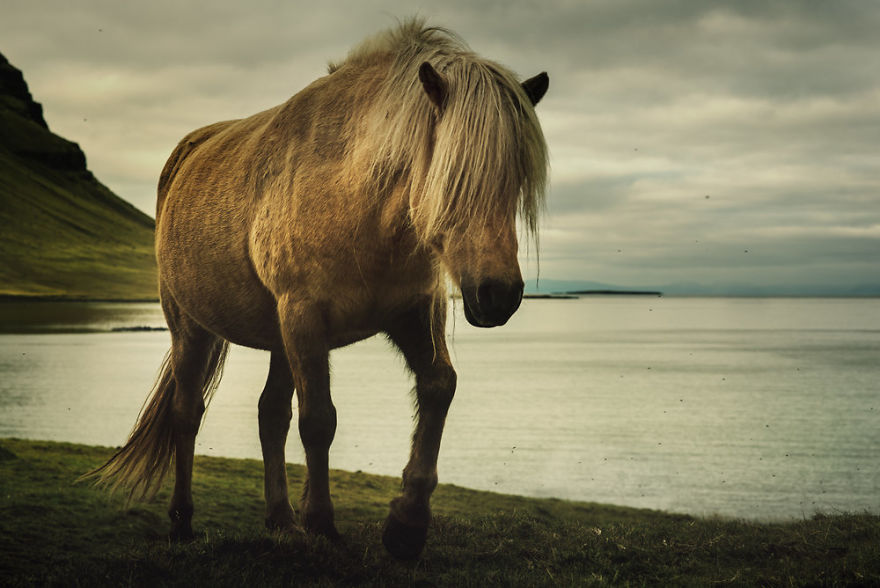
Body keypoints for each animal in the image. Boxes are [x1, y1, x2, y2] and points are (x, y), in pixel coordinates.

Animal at [85, 19, 549, 559]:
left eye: (515, 179)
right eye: (453, 177)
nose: (499, 294)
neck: (358, 202)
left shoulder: (413, 313)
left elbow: (438, 388)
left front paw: (406, 524)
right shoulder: (305, 318)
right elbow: (319, 420)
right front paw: (323, 523)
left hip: (277, 337)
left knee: (269, 415)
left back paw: (280, 519)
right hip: (191, 327)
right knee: (187, 413)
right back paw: (182, 521)